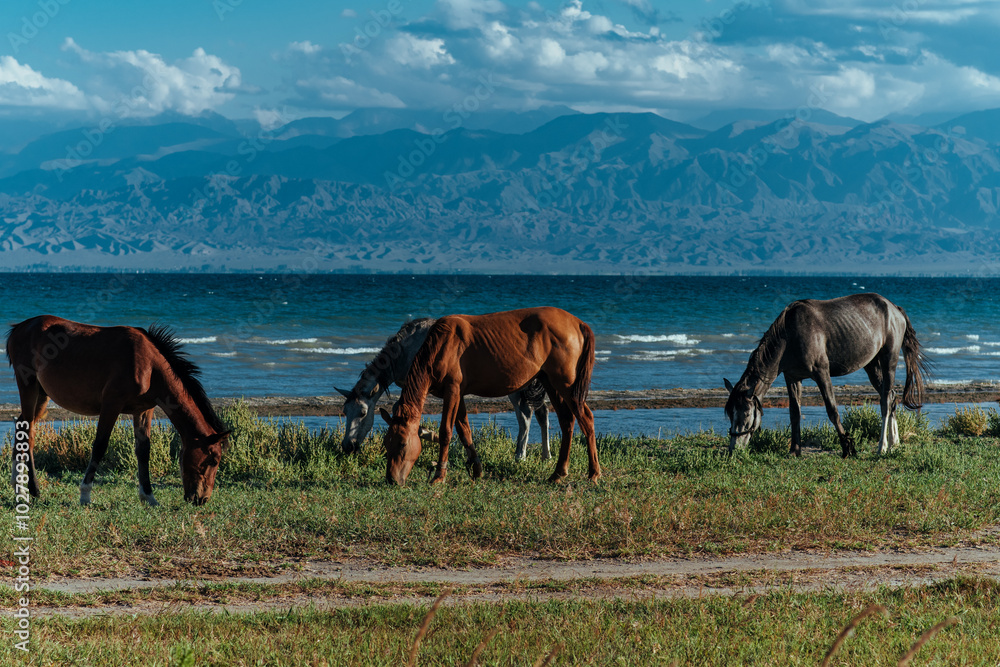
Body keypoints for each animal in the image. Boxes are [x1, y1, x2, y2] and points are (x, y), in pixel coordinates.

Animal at [6, 315, 230, 506]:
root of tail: (20, 327)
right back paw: (29, 490)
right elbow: (100, 446)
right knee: (27, 430)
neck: (149, 366)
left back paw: (21, 486)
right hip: (29, 386)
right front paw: (85, 495)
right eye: (213, 460)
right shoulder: (111, 405)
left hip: (42, 395)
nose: (201, 499)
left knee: (24, 427)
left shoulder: (143, 410)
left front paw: (149, 497)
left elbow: (143, 451)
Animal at [336, 318, 550, 460]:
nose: (347, 446)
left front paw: (429, 435)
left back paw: (521, 455)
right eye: (345, 411)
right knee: (541, 414)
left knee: (526, 416)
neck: (407, 349)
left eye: (363, 412)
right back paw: (545, 455)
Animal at [381, 307, 600, 486]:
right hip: (550, 382)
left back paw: (594, 473)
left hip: (566, 385)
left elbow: (446, 432)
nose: (391, 479)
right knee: (567, 420)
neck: (443, 344)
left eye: (402, 443)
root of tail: (578, 323)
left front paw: (439, 475)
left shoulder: (452, 391)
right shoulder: (458, 394)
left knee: (586, 419)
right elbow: (464, 431)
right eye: (386, 442)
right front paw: (476, 469)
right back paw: (558, 473)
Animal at [724, 293, 926, 457]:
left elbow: (832, 410)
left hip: (888, 360)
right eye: (730, 413)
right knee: (891, 397)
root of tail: (894, 309)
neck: (790, 335)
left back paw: (882, 447)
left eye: (746, 413)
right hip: (872, 366)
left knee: (885, 400)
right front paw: (794, 451)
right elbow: (795, 413)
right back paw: (894, 444)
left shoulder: (821, 373)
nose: (734, 449)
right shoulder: (792, 378)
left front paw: (847, 448)